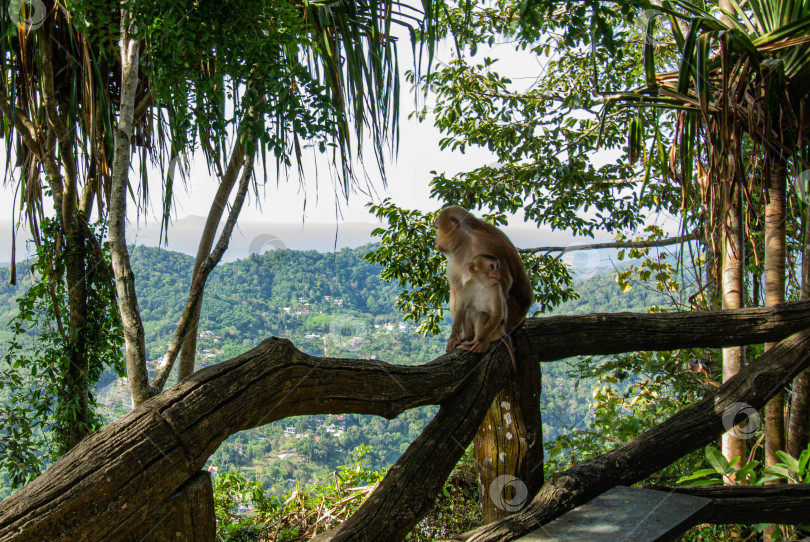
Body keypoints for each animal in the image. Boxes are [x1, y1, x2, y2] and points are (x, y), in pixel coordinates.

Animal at [432, 206, 532, 354]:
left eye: (437, 228)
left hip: (513, 316)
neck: (464, 241)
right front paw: (455, 336)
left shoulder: (485, 246)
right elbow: (458, 287)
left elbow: (503, 281)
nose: (436, 240)